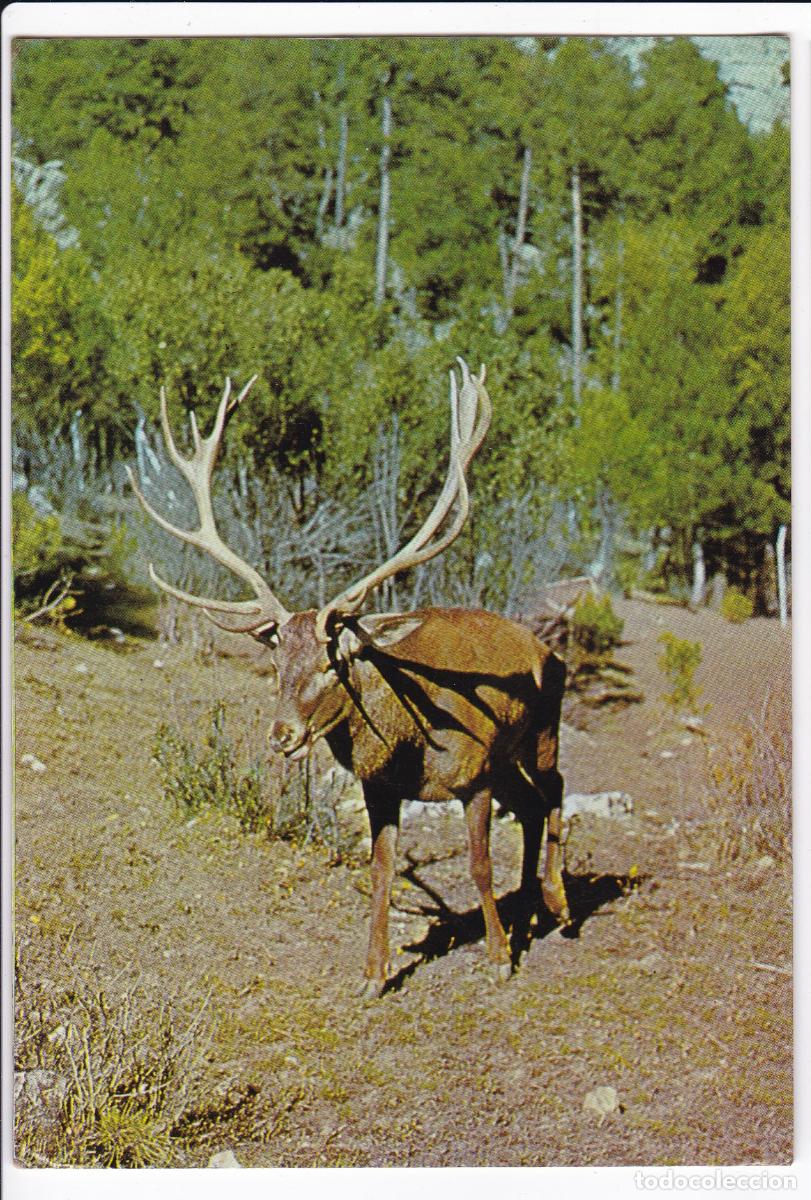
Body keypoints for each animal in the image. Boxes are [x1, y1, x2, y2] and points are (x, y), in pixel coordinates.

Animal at [128, 360, 571, 998]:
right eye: (277, 664)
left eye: (332, 662)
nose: (283, 735)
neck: (414, 744)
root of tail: (546, 648)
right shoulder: (380, 787)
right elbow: (382, 871)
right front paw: (373, 975)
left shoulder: (475, 773)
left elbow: (481, 865)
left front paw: (496, 959)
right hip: (511, 757)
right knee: (534, 807)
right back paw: (533, 909)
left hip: (540, 735)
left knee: (555, 790)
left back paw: (558, 906)